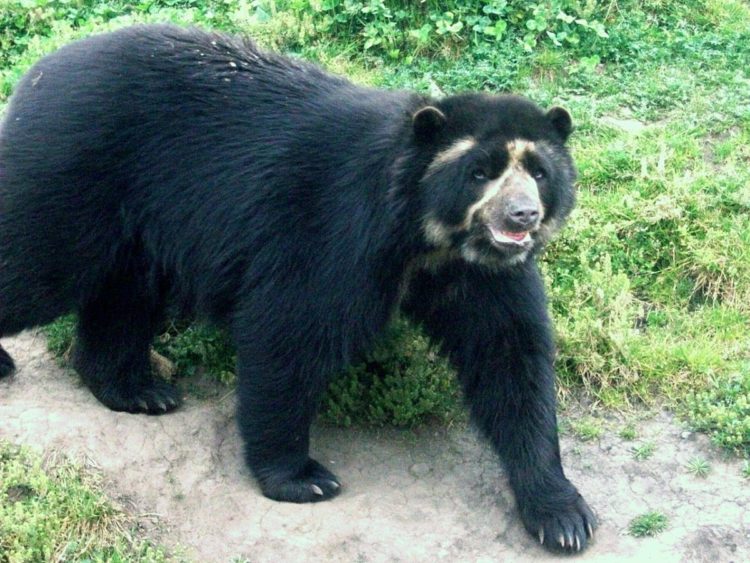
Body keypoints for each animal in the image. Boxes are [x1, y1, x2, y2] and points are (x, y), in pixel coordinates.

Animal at [0, 24, 600, 552]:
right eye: (481, 171)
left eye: (540, 172)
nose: (523, 216)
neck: (427, 237)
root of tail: (38, 70)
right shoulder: (335, 232)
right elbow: (289, 329)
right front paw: (302, 476)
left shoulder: (485, 275)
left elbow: (509, 357)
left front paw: (563, 516)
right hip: (72, 172)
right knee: (33, 262)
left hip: (135, 220)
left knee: (124, 296)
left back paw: (136, 389)